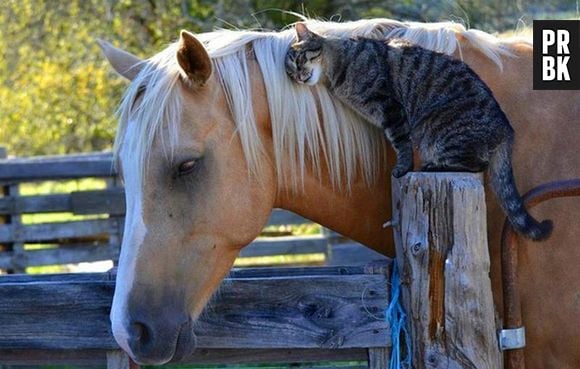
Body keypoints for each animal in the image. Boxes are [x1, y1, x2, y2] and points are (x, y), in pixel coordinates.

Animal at [286, 23, 552, 242]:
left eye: (299, 58)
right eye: (290, 71)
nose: (298, 76)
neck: (339, 65)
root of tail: (506, 129)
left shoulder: (390, 108)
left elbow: (401, 143)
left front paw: (402, 168)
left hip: (437, 130)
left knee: (476, 164)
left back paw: (434, 166)